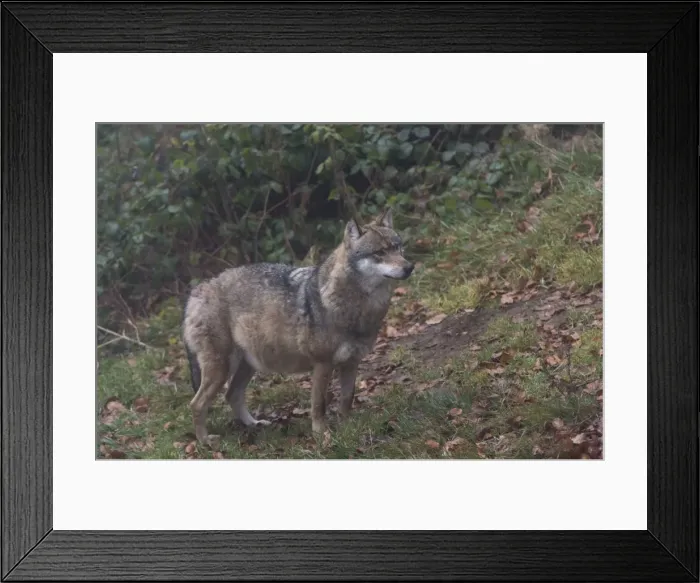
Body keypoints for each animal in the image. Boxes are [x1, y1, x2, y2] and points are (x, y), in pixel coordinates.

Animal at [182, 208, 413, 446]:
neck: (354, 308)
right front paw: (322, 436)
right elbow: (319, 405)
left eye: (398, 247)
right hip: (221, 369)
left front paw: (348, 427)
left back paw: (254, 425)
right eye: (380, 253)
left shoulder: (352, 363)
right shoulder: (322, 364)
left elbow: (347, 399)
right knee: (197, 404)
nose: (409, 267)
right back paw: (205, 441)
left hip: (248, 366)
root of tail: (196, 292)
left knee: (232, 395)